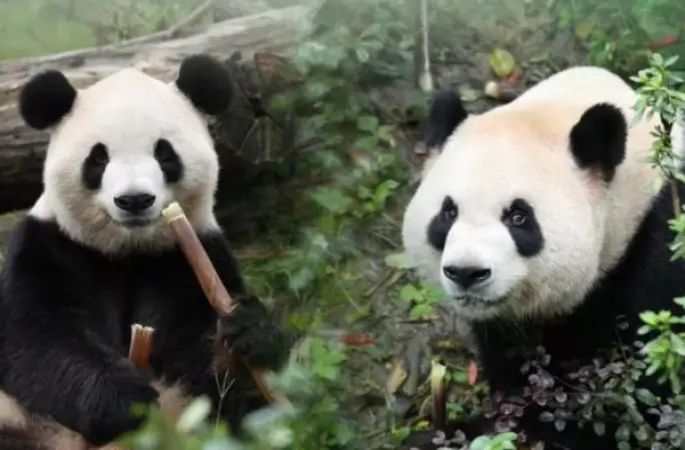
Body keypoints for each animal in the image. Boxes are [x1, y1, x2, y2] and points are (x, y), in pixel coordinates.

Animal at [0, 54, 291, 450]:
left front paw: (247, 332)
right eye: (98, 159)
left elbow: (200, 357)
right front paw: (123, 401)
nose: (134, 200)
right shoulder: (50, 247)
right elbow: (35, 339)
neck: (128, 250)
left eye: (164, 153)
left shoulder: (185, 256)